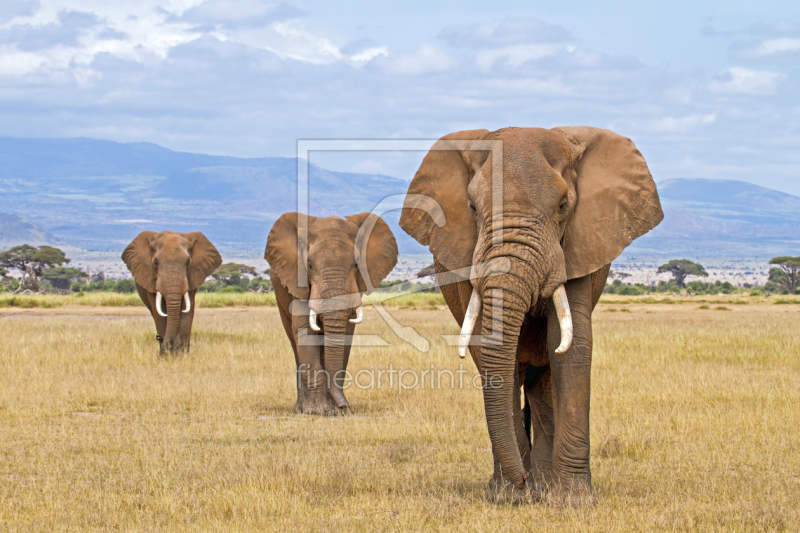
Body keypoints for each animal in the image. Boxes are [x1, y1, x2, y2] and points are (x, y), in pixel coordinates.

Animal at [264, 210, 398, 414]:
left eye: (356, 265)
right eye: (309, 265)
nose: (344, 405)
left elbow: (346, 332)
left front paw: (334, 411)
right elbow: (305, 330)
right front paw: (317, 410)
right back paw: (300, 408)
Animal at [400, 124, 664, 502]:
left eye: (564, 205)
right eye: (472, 207)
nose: (523, 483)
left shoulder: (578, 244)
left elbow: (570, 344)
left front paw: (573, 501)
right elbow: (489, 349)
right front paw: (510, 496)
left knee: (543, 378)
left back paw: (545, 484)